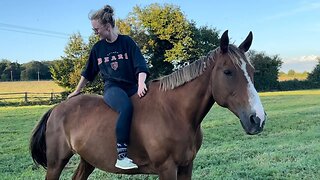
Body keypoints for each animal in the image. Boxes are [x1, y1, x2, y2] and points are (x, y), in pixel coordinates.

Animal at [30, 30, 266, 179]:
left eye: (252, 71)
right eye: (227, 72)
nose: (258, 119)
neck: (175, 113)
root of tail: (57, 109)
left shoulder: (186, 167)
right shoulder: (167, 169)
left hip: (87, 160)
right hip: (56, 163)